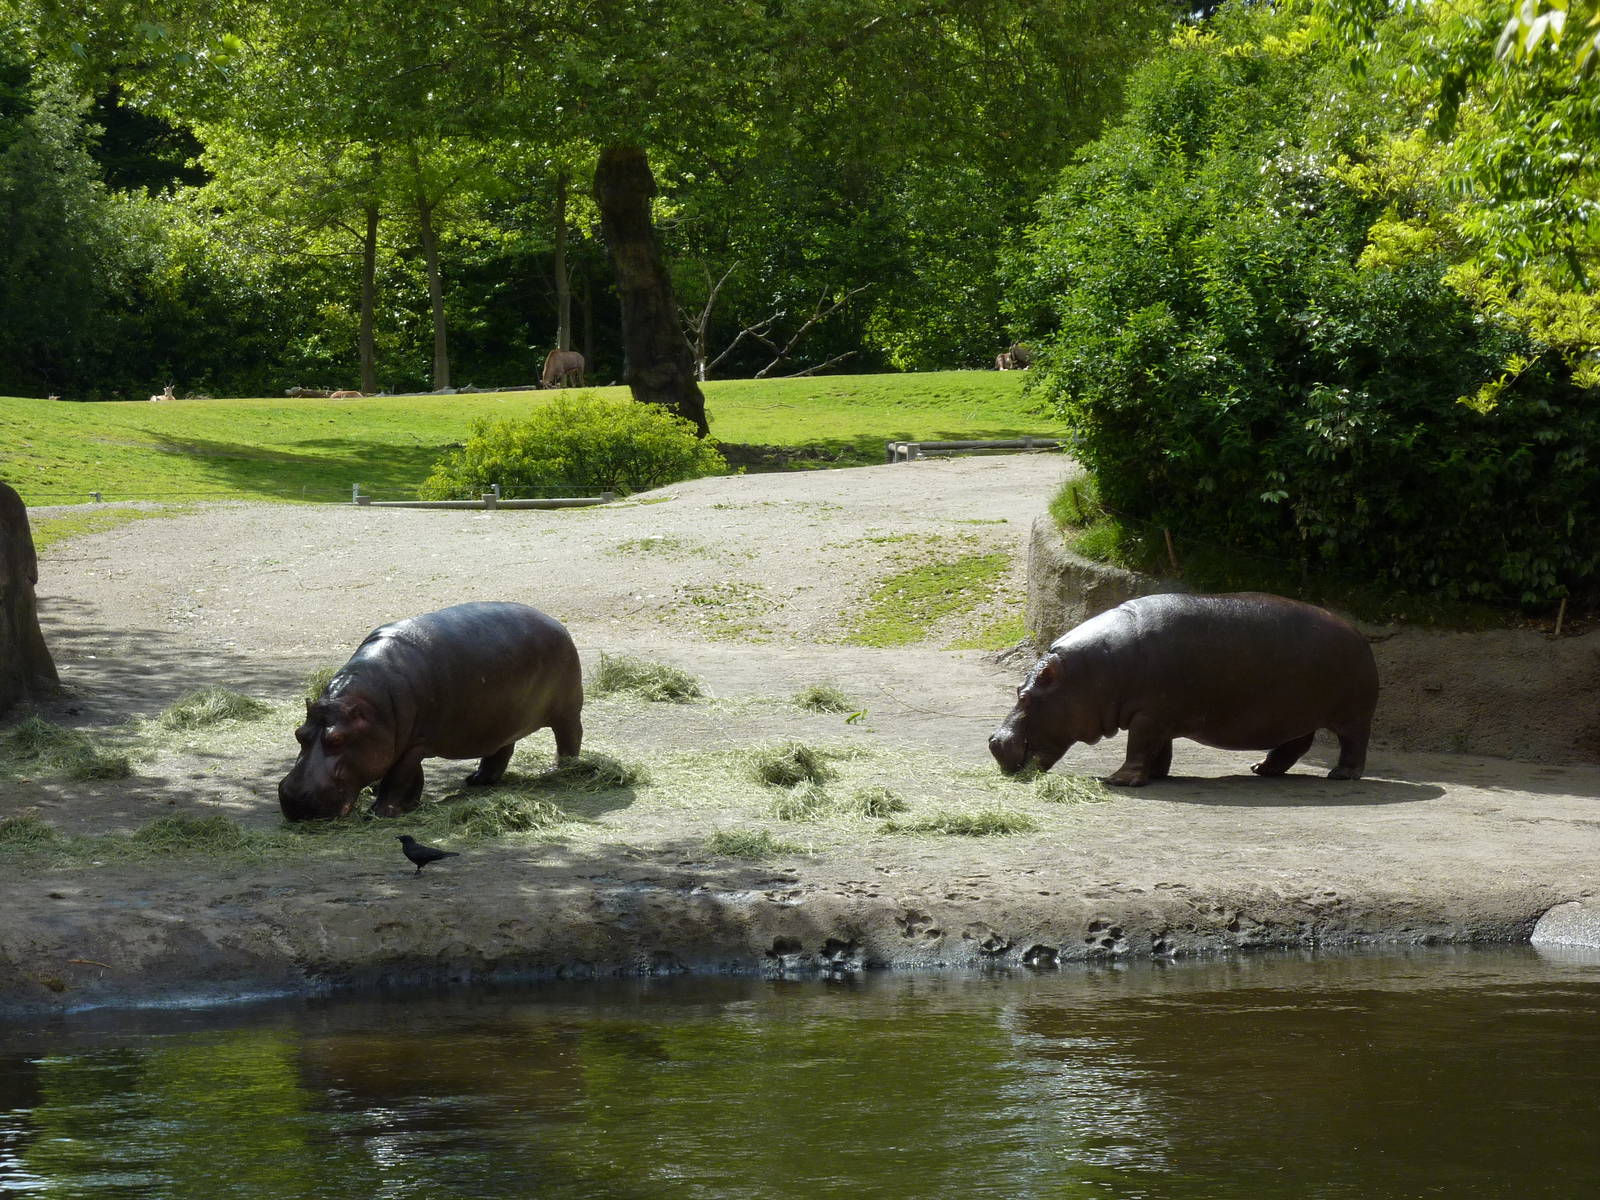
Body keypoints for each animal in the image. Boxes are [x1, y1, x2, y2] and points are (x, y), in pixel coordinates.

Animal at [278, 601, 583, 821]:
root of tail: (556, 622)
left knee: (570, 737)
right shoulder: (407, 742)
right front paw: (409, 804)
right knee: (501, 749)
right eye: (298, 734)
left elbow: (398, 778)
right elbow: (411, 776)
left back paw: (562, 769)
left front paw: (380, 813)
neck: (371, 707)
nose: (293, 798)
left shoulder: (416, 742)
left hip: (567, 710)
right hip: (501, 720)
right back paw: (477, 780)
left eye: (338, 739)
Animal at [989, 593, 1377, 785]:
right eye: (1017, 688)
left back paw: (1342, 775)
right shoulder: (1158, 715)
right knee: (1295, 744)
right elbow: (1158, 748)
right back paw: (1261, 769)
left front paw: (1119, 780)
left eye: (1026, 696)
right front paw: (1157, 775)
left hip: (1351, 714)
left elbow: (1138, 746)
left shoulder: (1149, 714)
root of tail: (1359, 634)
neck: (1086, 675)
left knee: (1353, 743)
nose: (993, 740)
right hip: (1296, 714)